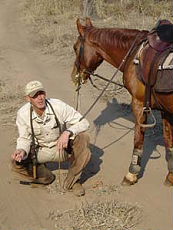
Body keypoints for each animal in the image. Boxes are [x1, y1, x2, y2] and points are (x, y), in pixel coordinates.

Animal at [71, 18, 173, 187]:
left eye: (75, 48)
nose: (74, 76)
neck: (135, 54)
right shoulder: (166, 111)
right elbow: (169, 141)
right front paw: (171, 176)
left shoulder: (139, 104)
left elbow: (138, 139)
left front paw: (131, 174)